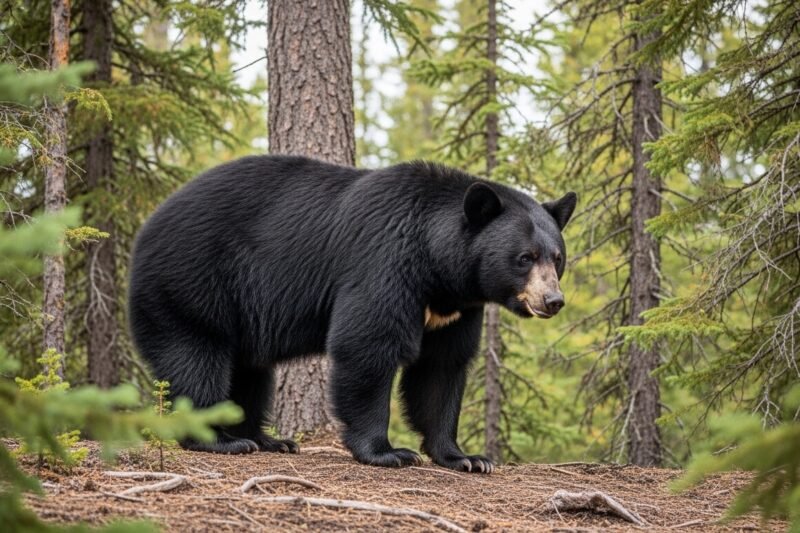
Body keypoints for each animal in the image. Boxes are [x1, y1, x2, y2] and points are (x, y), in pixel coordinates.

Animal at [128, 155, 576, 473]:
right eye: (524, 258)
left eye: (557, 257)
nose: (553, 300)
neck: (438, 268)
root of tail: (145, 227)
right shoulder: (384, 263)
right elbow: (367, 346)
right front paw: (388, 452)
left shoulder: (455, 309)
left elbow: (441, 368)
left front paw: (465, 457)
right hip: (193, 282)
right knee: (197, 355)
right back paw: (221, 439)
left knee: (250, 371)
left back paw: (269, 439)